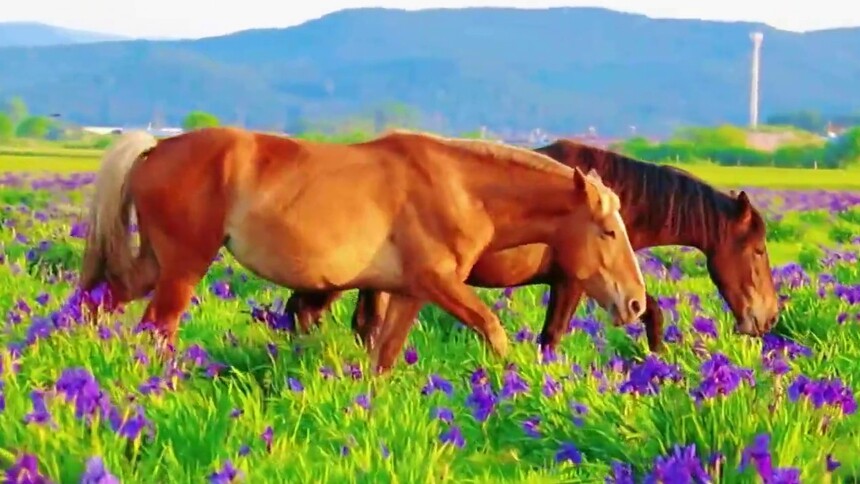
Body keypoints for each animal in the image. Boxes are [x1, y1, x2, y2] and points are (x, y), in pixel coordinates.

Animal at [79, 127, 646, 372]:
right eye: (608, 231)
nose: (637, 303)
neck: (462, 187)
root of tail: (158, 145)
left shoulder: (411, 291)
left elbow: (384, 356)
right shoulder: (439, 284)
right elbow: (493, 329)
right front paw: (513, 382)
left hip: (157, 264)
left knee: (100, 301)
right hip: (184, 267)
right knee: (159, 328)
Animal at [286, 139, 779, 353]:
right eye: (758, 251)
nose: (768, 317)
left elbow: (651, 311)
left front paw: (658, 359)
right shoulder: (573, 281)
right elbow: (553, 335)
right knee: (314, 313)